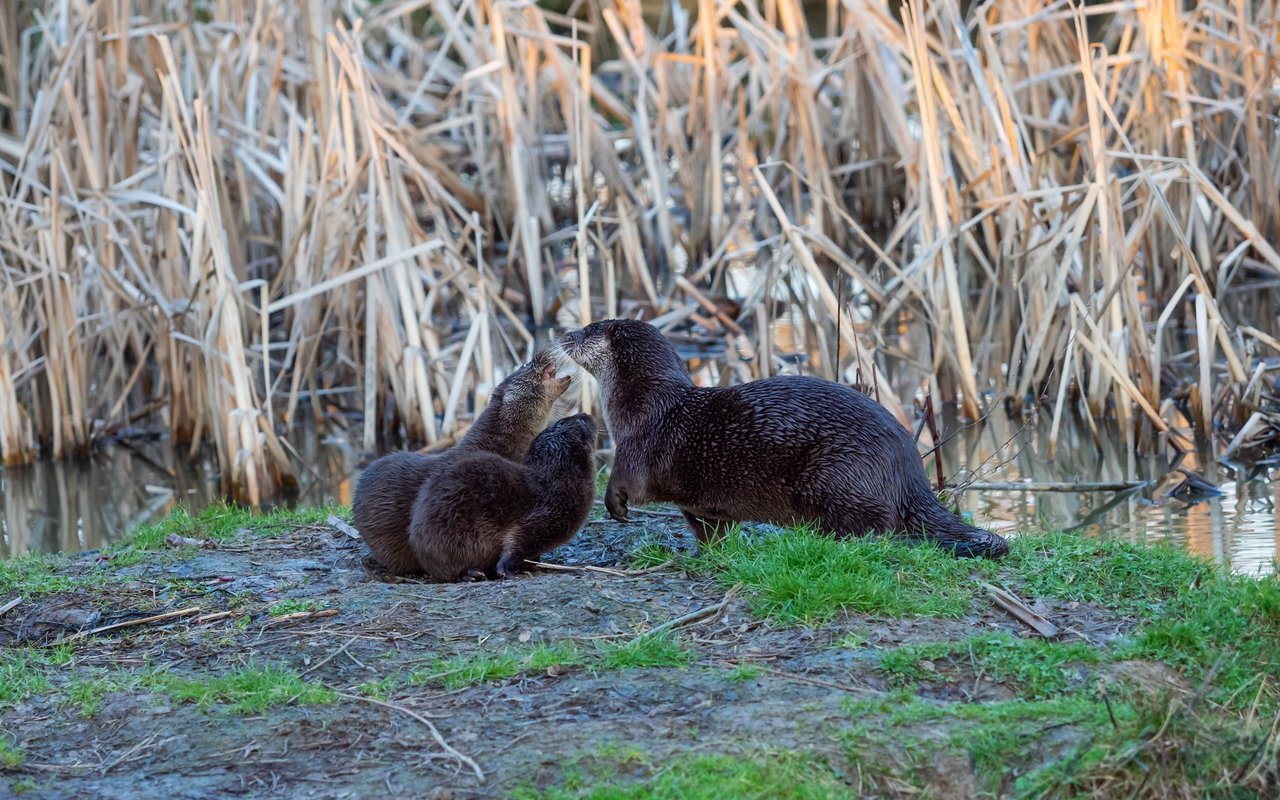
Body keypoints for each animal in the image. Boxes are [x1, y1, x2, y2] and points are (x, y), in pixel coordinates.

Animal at [409, 412, 599, 581]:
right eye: (581, 420)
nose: (588, 414)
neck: (559, 480)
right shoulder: (547, 514)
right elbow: (518, 541)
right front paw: (505, 569)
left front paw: (536, 565)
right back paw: (471, 574)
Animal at [560, 314, 1008, 558]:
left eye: (587, 329)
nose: (563, 334)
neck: (643, 404)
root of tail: (907, 466)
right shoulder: (698, 502)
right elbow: (709, 527)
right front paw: (713, 555)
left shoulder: (641, 444)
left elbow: (627, 483)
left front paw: (615, 507)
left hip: (835, 473)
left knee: (878, 526)